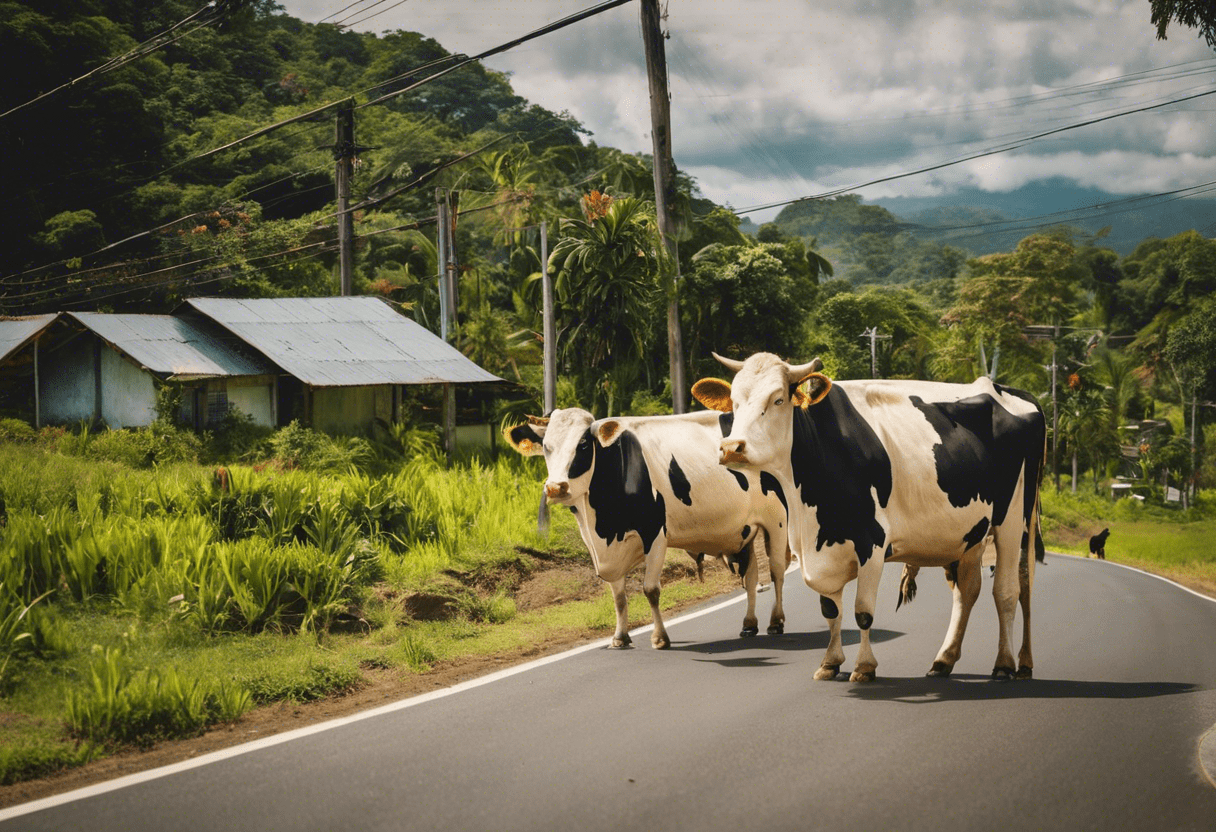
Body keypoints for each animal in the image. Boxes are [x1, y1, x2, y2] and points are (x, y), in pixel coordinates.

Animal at [503, 408, 787, 651]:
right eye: (547, 447)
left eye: (582, 444)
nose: (555, 488)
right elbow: (618, 597)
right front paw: (619, 637)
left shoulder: (655, 534)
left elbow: (651, 590)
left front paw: (660, 638)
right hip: (745, 529)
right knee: (752, 576)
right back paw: (749, 624)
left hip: (778, 520)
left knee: (776, 571)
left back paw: (776, 621)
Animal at [695, 352, 1045, 681]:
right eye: (735, 402)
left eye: (778, 399)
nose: (731, 447)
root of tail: (1008, 390)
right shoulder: (816, 550)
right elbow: (830, 610)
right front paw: (830, 663)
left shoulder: (872, 543)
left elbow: (862, 612)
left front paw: (864, 667)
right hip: (972, 532)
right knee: (968, 591)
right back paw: (945, 661)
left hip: (1012, 518)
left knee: (1009, 590)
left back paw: (1006, 665)